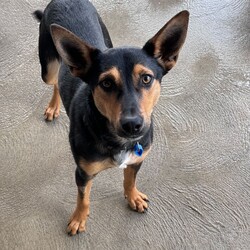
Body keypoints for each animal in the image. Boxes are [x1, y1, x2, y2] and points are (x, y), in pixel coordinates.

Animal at [33, 0, 189, 235]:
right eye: (106, 83)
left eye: (146, 78)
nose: (133, 125)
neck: (115, 139)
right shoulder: (83, 173)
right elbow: (83, 198)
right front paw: (79, 218)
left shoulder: (137, 159)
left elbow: (130, 180)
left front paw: (133, 197)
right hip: (49, 68)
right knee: (55, 82)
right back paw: (53, 107)